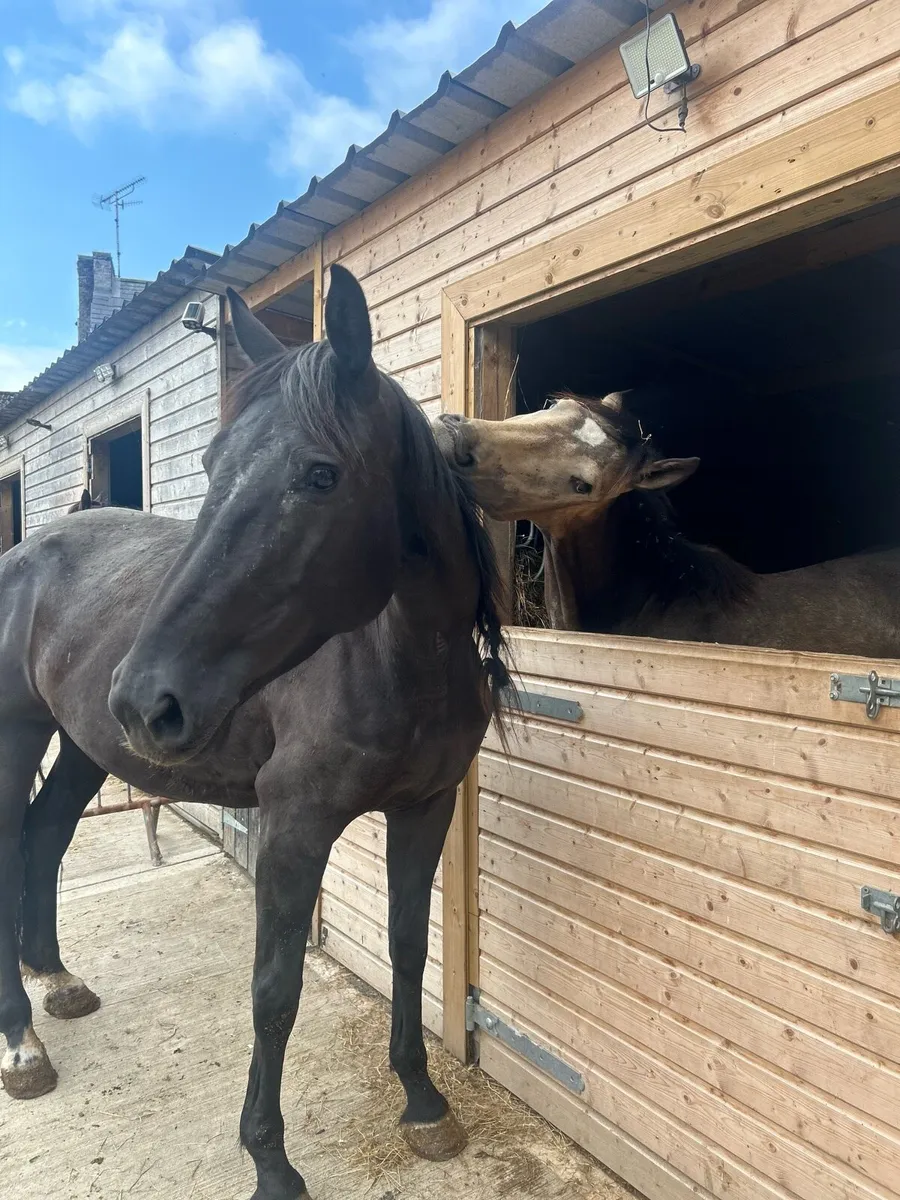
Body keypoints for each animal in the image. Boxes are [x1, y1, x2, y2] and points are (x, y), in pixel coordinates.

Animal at [0, 265, 508, 1200]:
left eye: (320, 474)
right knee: (16, 847)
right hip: (18, 735)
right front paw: (270, 1160)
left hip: (86, 746)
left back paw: (55, 978)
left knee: (47, 837)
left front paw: (422, 1102)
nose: (147, 699)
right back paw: (22, 1043)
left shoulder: (425, 808)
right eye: (209, 466)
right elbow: (274, 991)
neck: (400, 655)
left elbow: (408, 948)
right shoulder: (295, 824)